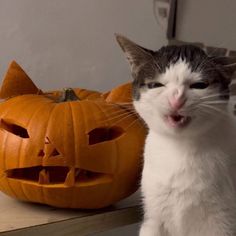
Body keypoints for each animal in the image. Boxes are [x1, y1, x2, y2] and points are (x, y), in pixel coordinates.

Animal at [116, 33, 236, 236]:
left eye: (199, 85)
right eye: (156, 84)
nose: (176, 99)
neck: (179, 149)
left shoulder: (223, 222)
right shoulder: (153, 217)